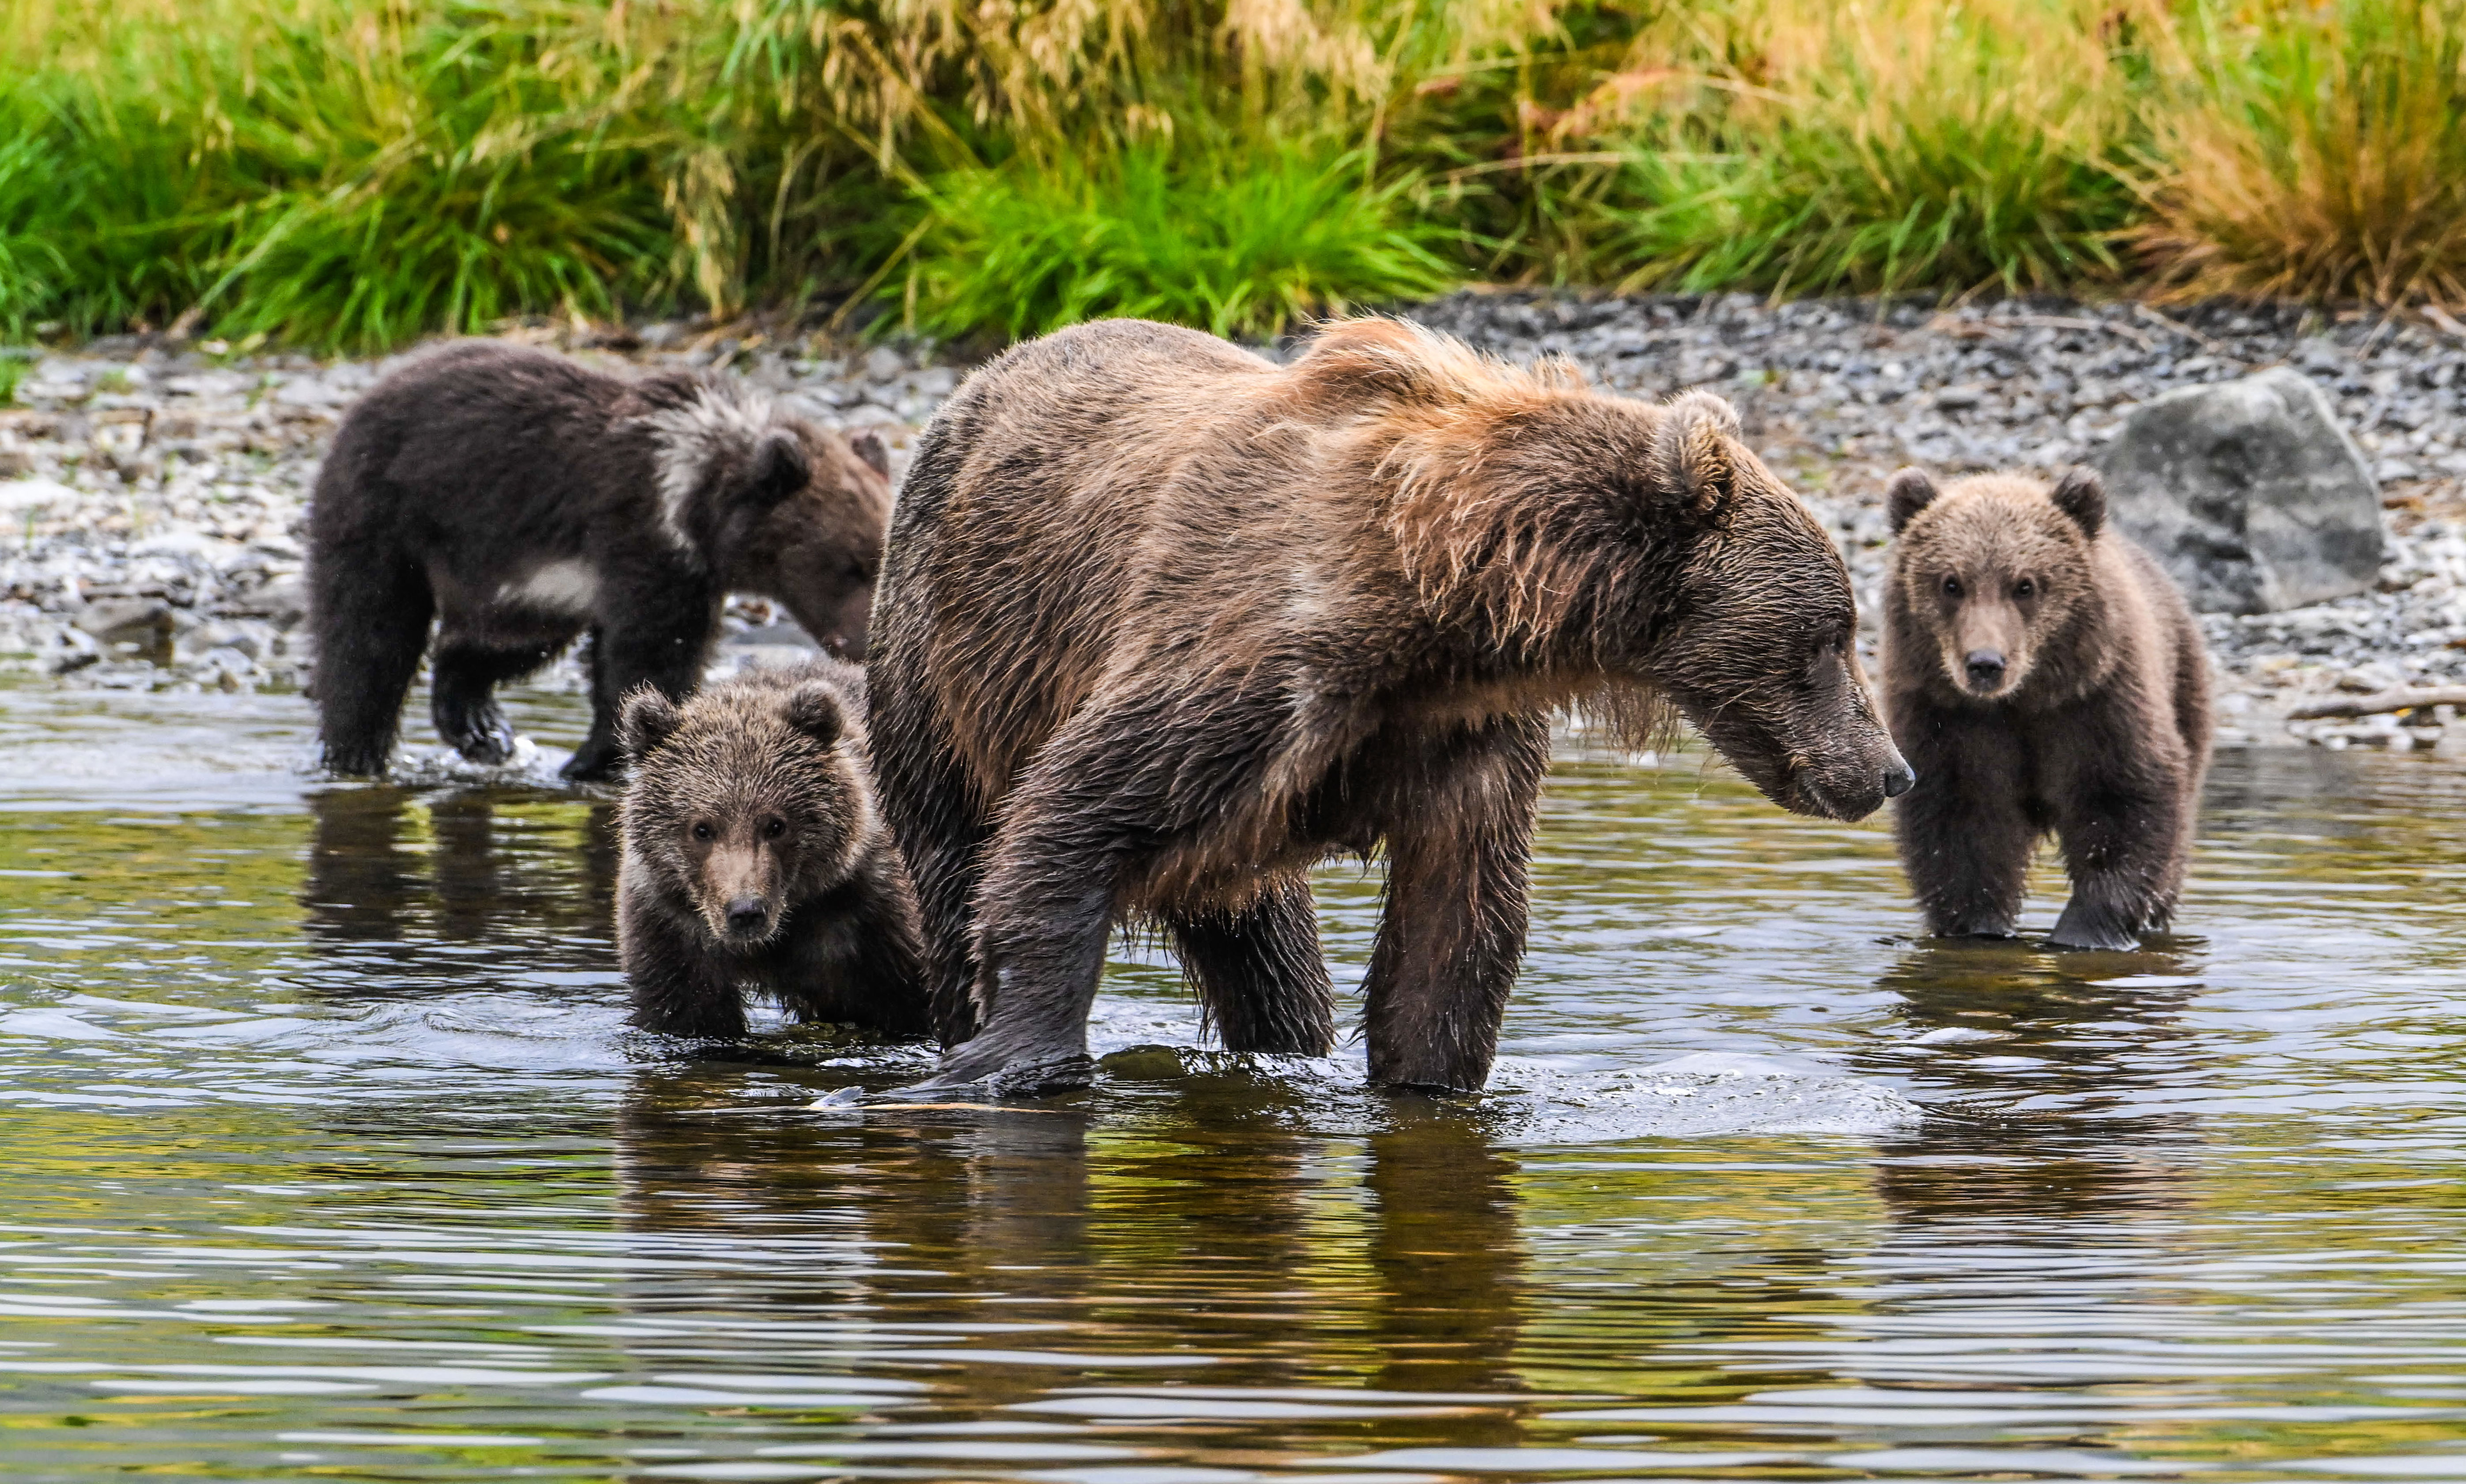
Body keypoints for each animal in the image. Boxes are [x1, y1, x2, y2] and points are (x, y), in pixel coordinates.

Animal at [306, 340, 894, 782]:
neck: (694, 500)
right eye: (852, 565)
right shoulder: (644, 542)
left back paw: (479, 725)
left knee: (495, 640)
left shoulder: (686, 575)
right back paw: (356, 753)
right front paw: (601, 760)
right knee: (369, 632)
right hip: (385, 509)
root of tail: (377, 387)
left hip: (526, 582)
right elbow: (646, 655)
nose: (866, 644)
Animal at [615, 657, 933, 1039]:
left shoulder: (870, 917)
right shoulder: (670, 927)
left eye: (776, 824)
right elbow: (685, 1011)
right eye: (702, 828)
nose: (746, 911)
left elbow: (902, 1003)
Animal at [865, 316, 1915, 1096]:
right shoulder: (1250, 667)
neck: (1440, 605)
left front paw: (1427, 1077)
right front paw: (1004, 1056)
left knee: (1268, 955)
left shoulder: (1462, 734)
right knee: (955, 850)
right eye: (1829, 634)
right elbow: (1068, 817)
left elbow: (1454, 927)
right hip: (937, 659)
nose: (1886, 770)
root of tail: (983, 377)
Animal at [1881, 465, 2212, 951]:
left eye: (2025, 584)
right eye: (1951, 583)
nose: (1985, 664)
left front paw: (2084, 931)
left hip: (2184, 689)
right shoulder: (1948, 720)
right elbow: (1960, 821)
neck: (2023, 700)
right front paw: (1980, 928)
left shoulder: (2097, 705)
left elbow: (2124, 800)